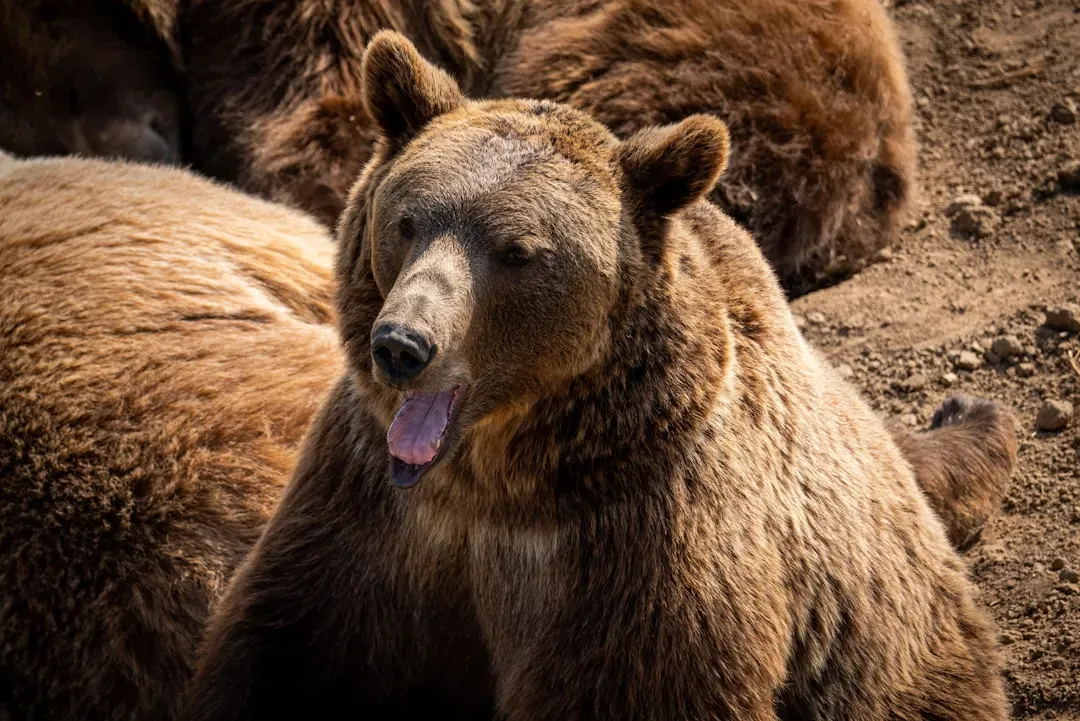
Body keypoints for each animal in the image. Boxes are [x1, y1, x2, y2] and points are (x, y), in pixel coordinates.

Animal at [183, 32, 1008, 721]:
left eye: (517, 251)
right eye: (408, 219)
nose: (402, 344)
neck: (492, 482)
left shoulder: (637, 546)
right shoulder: (368, 508)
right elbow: (284, 645)